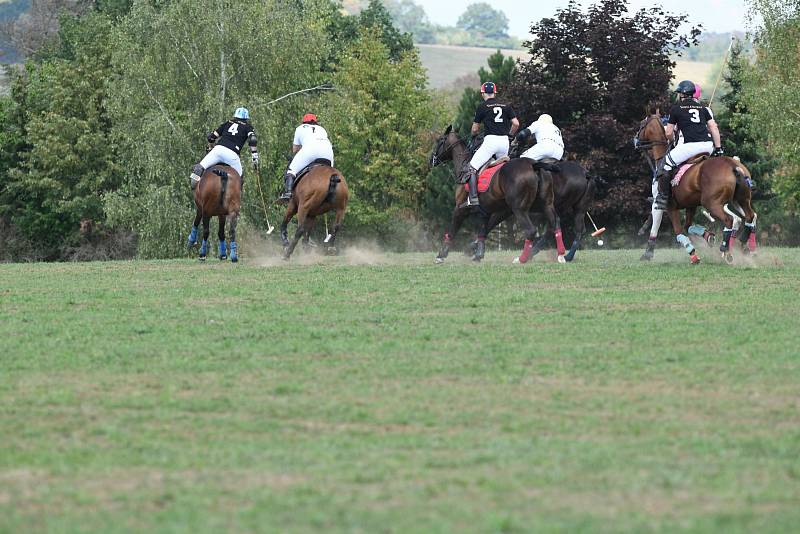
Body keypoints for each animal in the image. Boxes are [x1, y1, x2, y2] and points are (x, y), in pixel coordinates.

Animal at [428, 127, 564, 266]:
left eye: (439, 140)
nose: (431, 160)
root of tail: (533, 165)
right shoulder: (486, 212)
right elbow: (483, 231)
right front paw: (478, 255)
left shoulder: (460, 209)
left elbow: (452, 231)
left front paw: (441, 255)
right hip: (546, 204)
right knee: (555, 223)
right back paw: (560, 255)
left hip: (519, 209)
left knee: (531, 230)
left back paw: (521, 259)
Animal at [636, 114, 756, 264]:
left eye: (642, 125)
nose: (636, 141)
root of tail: (733, 165)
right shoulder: (690, 205)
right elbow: (688, 227)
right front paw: (708, 237)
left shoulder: (665, 205)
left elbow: (673, 231)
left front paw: (649, 254)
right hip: (741, 199)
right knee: (750, 216)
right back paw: (744, 246)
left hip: (711, 203)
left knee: (729, 219)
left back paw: (726, 250)